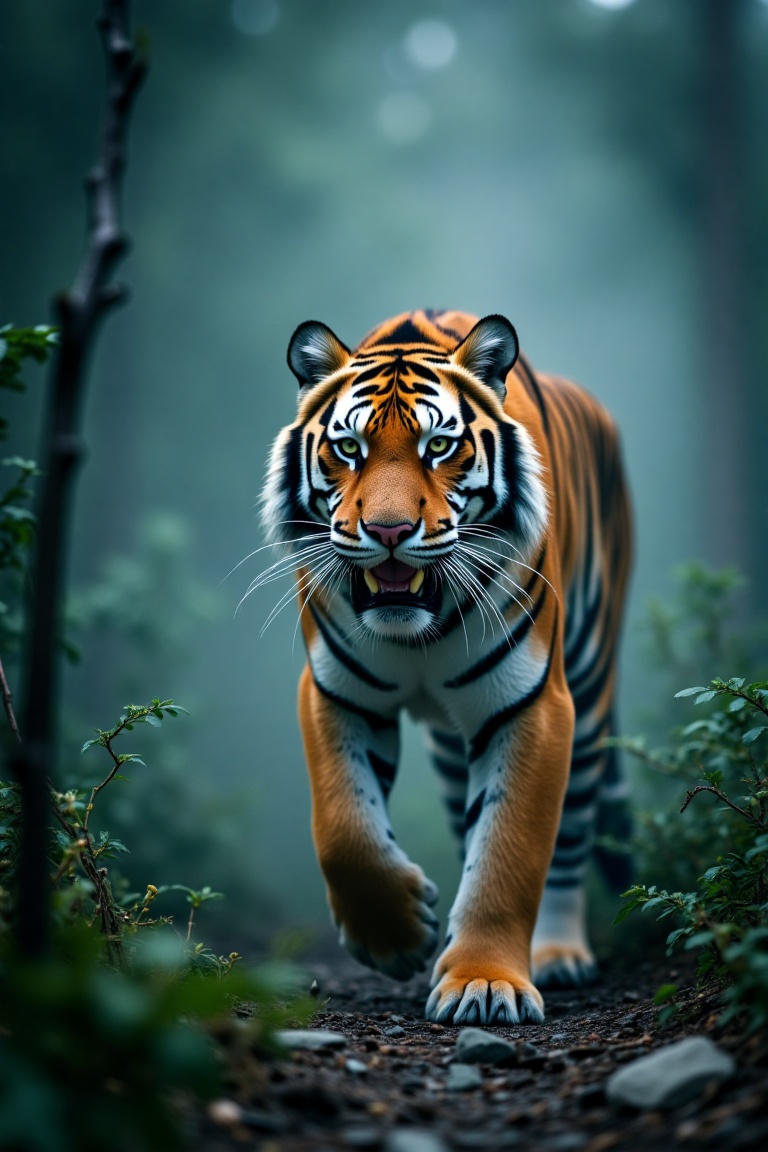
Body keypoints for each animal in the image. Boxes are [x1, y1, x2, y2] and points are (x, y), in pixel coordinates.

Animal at [259, 309, 632, 1025]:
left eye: (438, 446)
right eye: (348, 449)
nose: (389, 530)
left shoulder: (533, 706)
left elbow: (510, 851)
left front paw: (485, 982)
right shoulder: (336, 693)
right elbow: (344, 828)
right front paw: (397, 936)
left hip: (591, 694)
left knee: (570, 839)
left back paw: (558, 953)